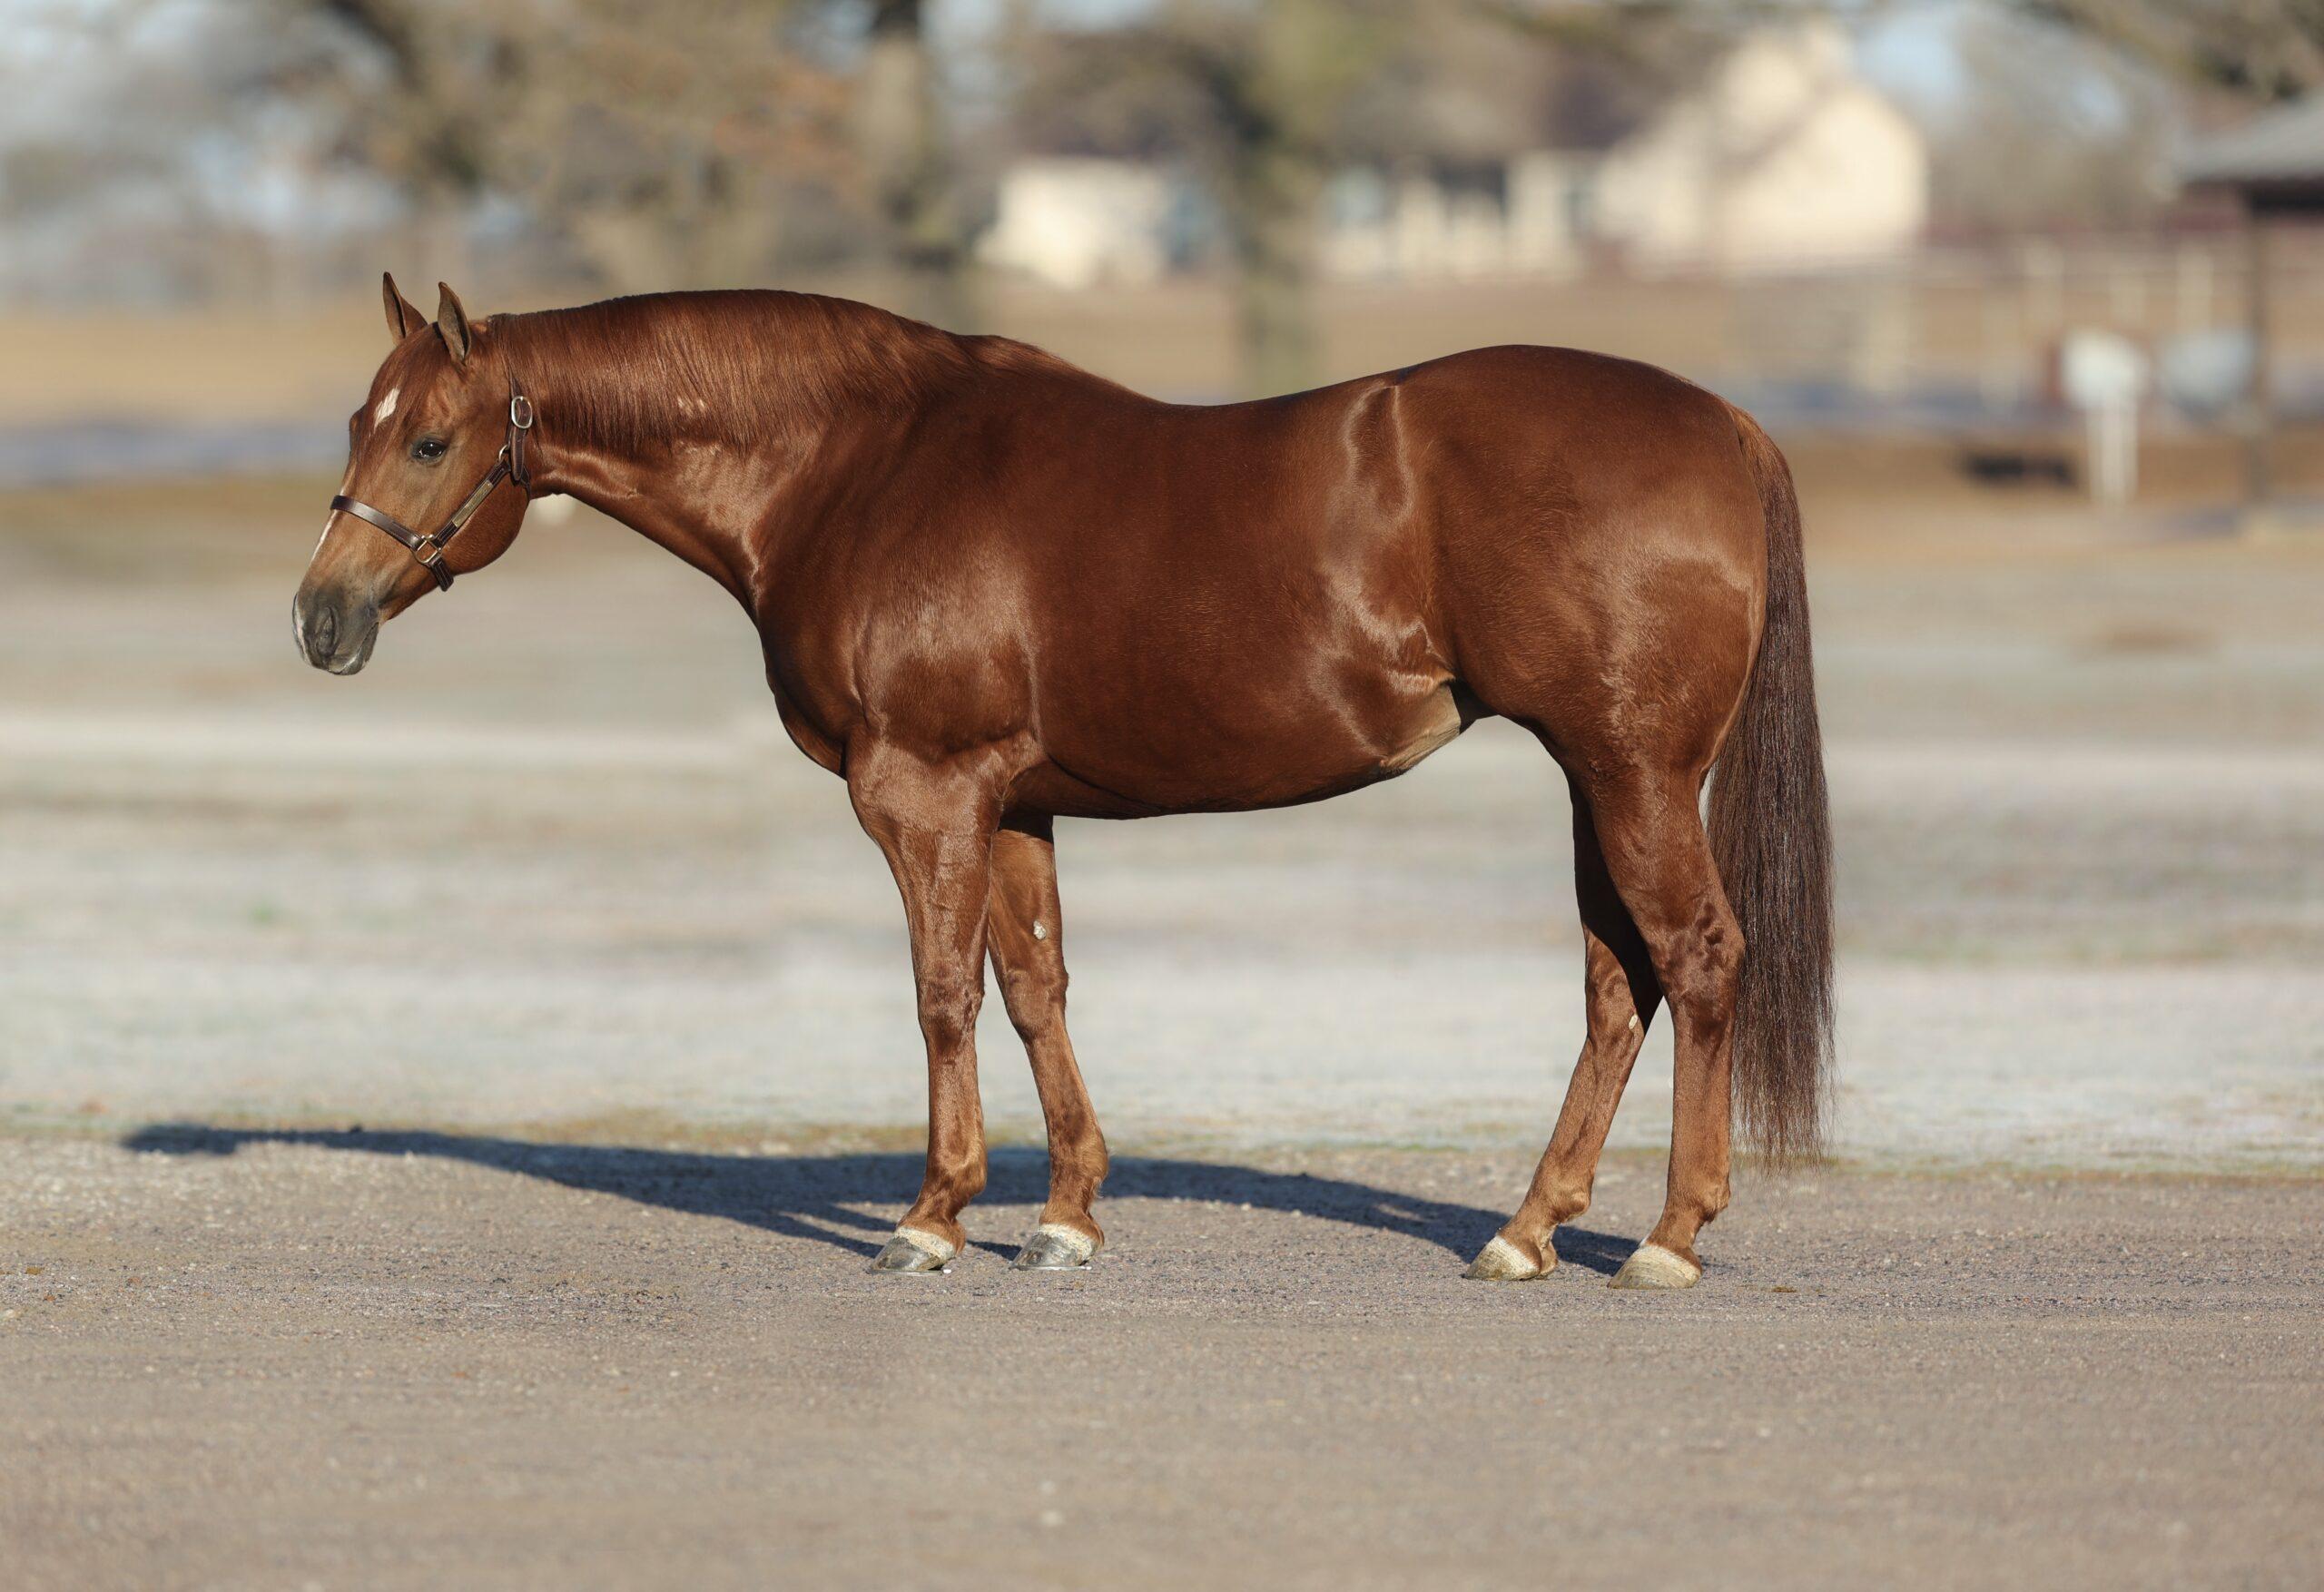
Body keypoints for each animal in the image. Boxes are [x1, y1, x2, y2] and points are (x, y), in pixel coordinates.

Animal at [295, 275, 1833, 1287]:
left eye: (428, 438)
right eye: (358, 423)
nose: (321, 617)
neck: (856, 468)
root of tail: (1724, 420)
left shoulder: (920, 792)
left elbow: (942, 995)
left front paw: (932, 1215)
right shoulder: (1015, 799)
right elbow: (1035, 987)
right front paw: (1067, 1214)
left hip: (1633, 774)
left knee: (1698, 957)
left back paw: (1667, 1238)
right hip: (1594, 777)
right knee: (1618, 983)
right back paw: (1527, 1228)